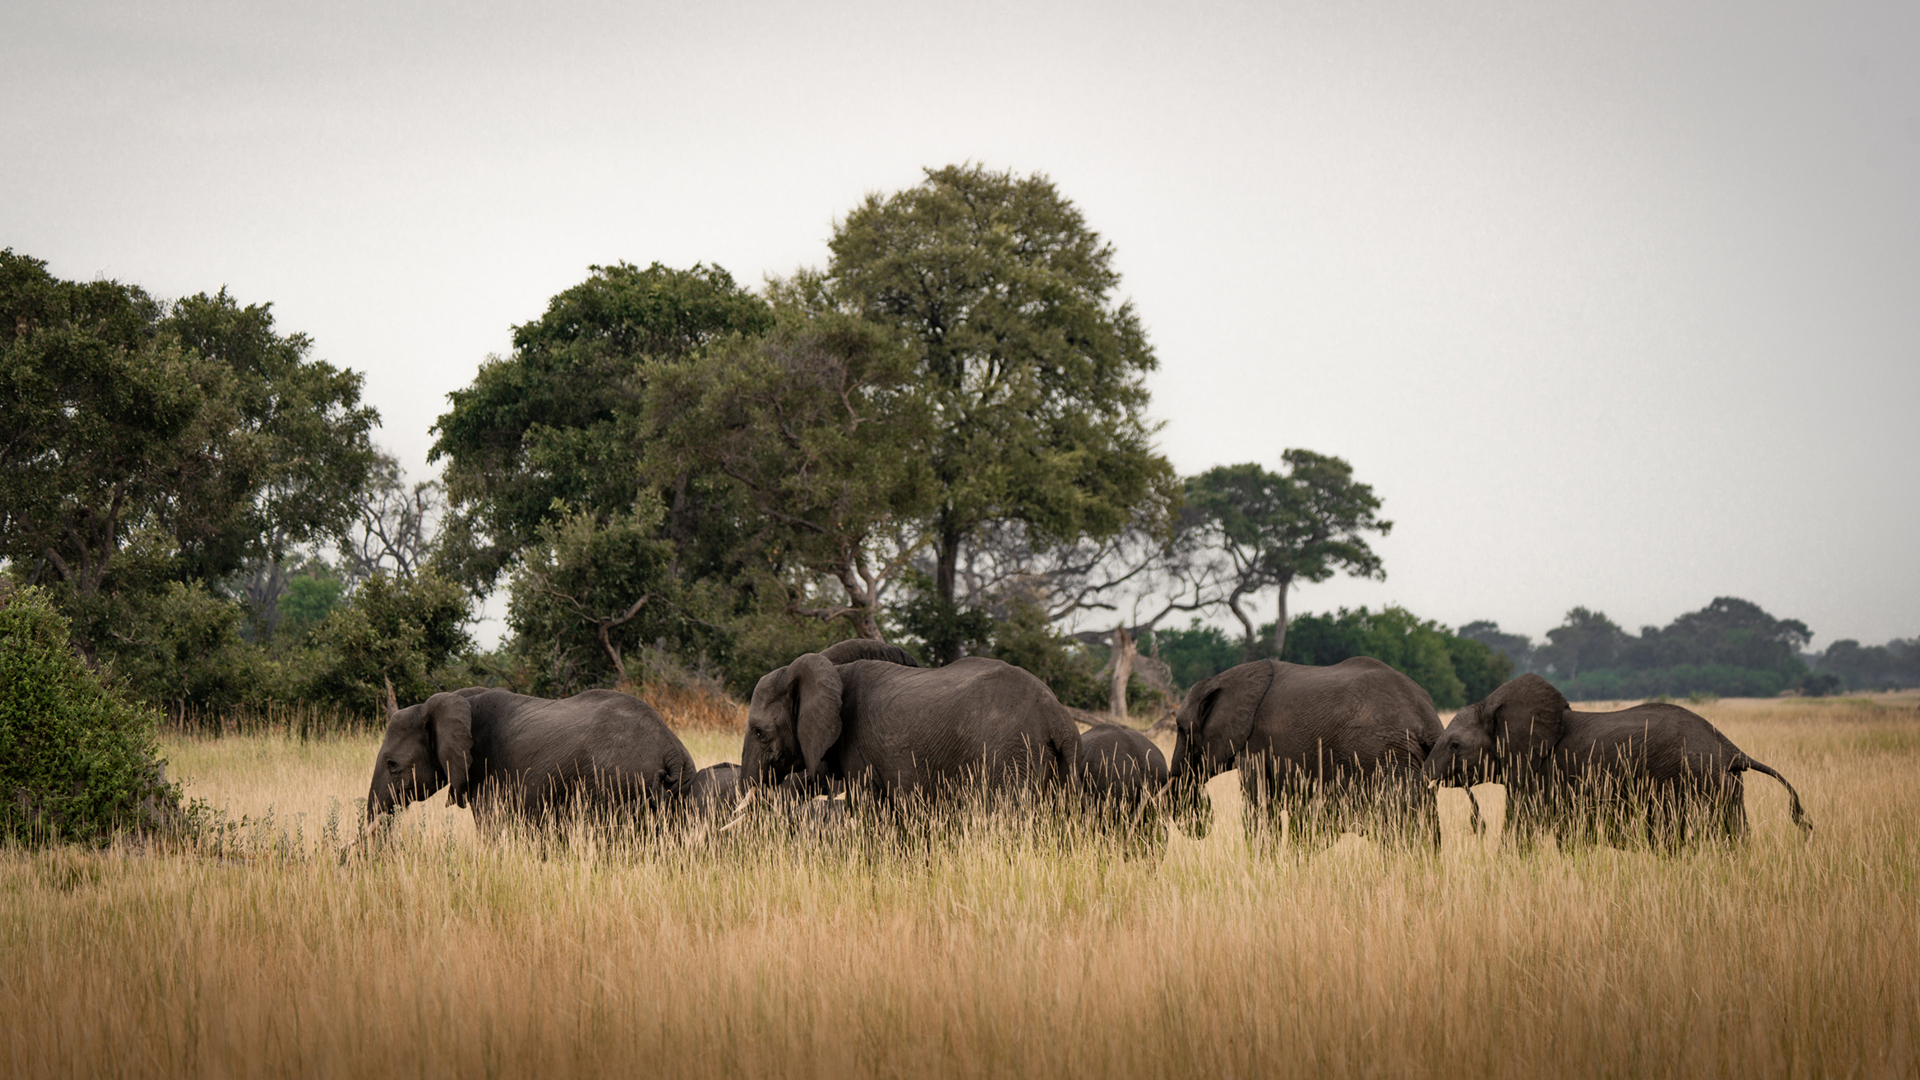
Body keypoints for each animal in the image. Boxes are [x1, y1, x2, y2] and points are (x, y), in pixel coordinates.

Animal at [1167, 657, 1444, 852]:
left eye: (1180, 729)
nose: (1201, 825)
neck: (1225, 678)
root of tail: (1427, 718)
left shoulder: (1256, 744)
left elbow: (1260, 810)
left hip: (1385, 759)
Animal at [1423, 674, 1812, 850]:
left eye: (1455, 745)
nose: (1477, 824)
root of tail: (1732, 749)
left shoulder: (1539, 774)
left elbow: (1522, 829)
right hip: (1726, 788)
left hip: (1694, 781)